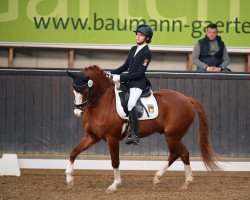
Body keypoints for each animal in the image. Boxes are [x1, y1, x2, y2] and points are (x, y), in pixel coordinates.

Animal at [65, 65, 220, 194]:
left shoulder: (112, 138)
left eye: (85, 90)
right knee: (184, 153)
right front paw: (69, 179)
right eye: (73, 90)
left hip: (172, 136)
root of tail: (186, 98)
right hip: (175, 135)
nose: (77, 112)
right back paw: (186, 182)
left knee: (175, 153)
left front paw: (114, 185)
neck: (102, 102)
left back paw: (158, 177)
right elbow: (74, 152)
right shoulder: (92, 136)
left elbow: (115, 161)